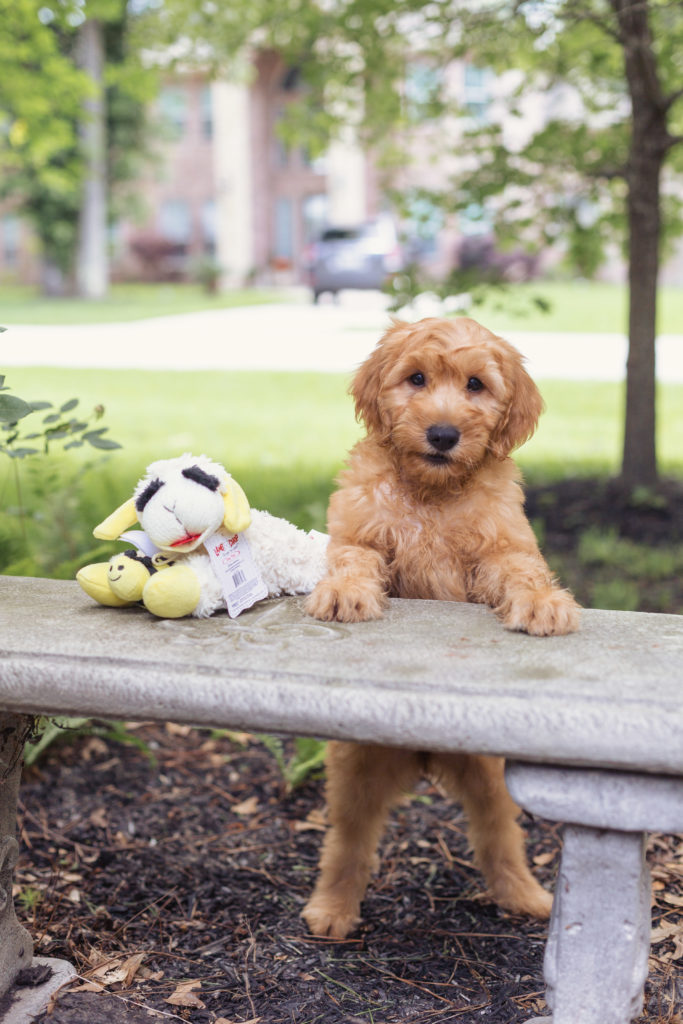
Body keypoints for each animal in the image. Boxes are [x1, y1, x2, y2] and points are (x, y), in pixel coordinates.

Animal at [301, 315, 581, 937]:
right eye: (416, 378)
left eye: (476, 384)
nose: (444, 434)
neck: (432, 491)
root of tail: (424, 752)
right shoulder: (361, 531)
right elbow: (353, 559)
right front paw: (345, 593)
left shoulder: (500, 546)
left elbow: (520, 570)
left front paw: (542, 603)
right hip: (356, 768)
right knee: (348, 841)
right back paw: (332, 909)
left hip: (488, 774)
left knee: (498, 833)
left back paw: (524, 896)